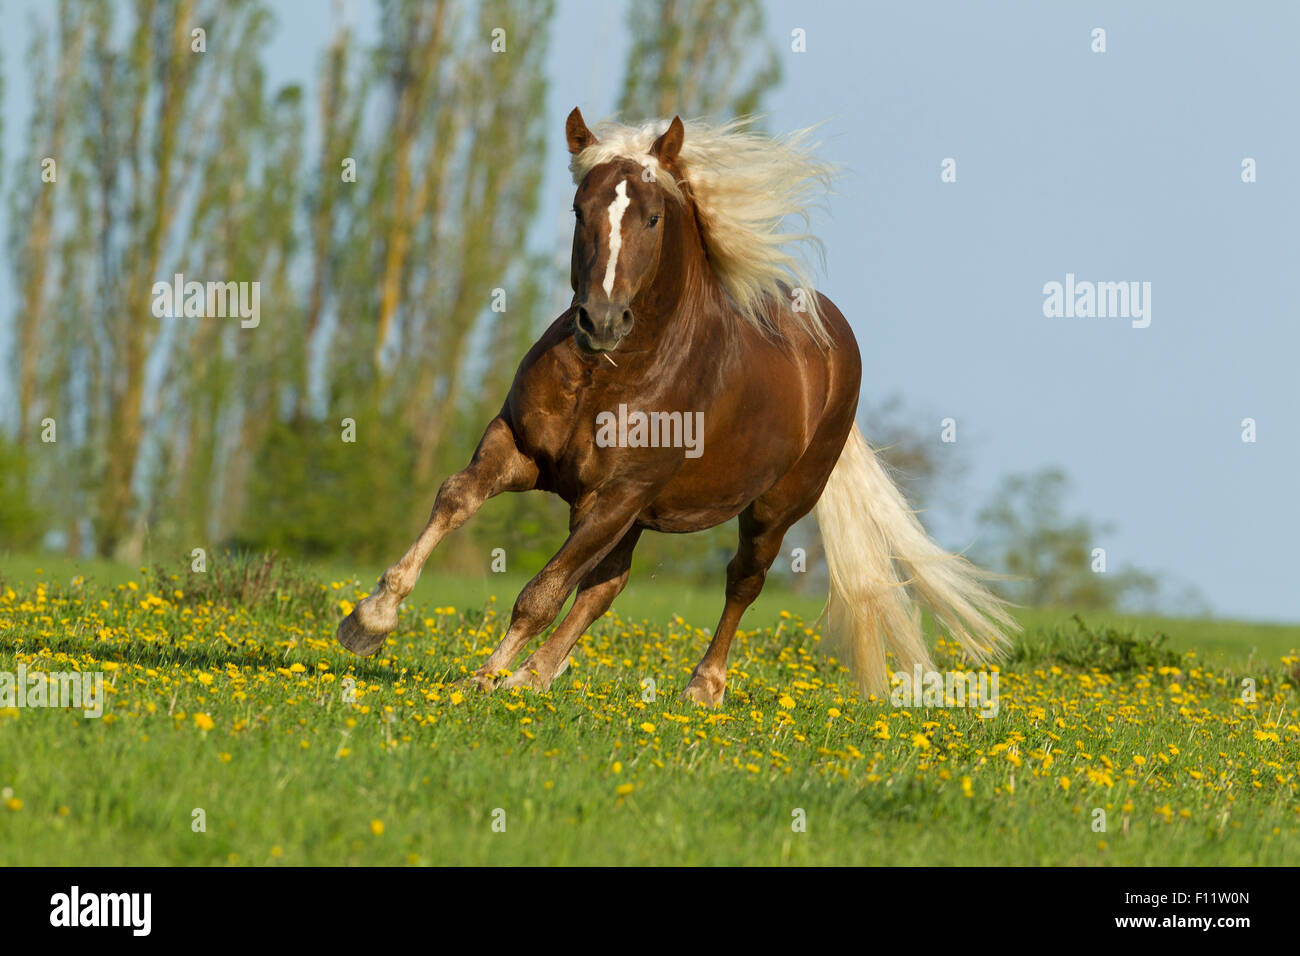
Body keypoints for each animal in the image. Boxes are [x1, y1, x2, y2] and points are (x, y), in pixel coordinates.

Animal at [336, 108, 1018, 705]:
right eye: (578, 209)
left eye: (654, 217)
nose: (602, 321)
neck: (611, 376)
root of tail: (832, 339)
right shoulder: (520, 449)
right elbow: (457, 499)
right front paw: (370, 621)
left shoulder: (618, 495)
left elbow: (541, 591)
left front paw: (481, 679)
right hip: (638, 513)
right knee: (607, 585)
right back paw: (536, 676)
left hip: (773, 507)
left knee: (741, 580)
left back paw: (700, 687)